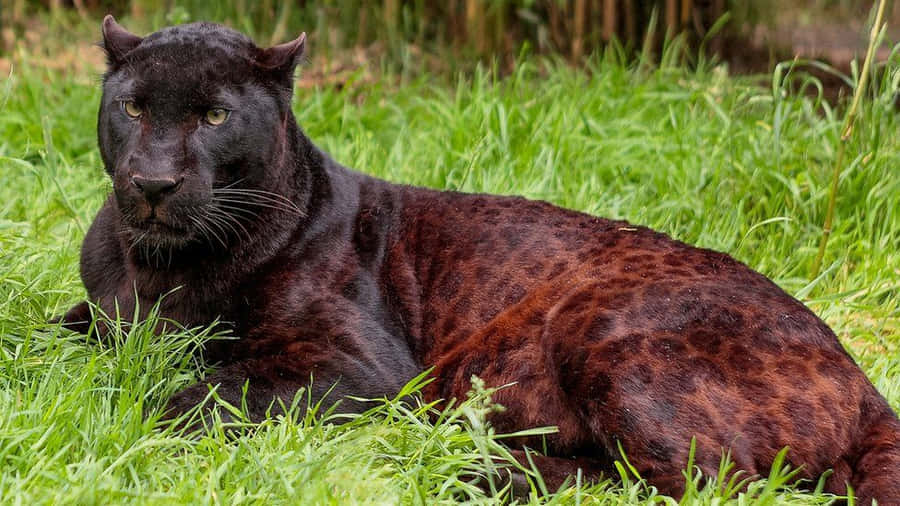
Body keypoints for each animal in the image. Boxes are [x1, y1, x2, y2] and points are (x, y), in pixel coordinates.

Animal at [59, 16, 900, 503]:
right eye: (132, 107)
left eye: (214, 115)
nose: (154, 181)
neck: (161, 268)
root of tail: (862, 381)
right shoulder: (94, 313)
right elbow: (63, 335)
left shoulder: (357, 366)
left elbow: (204, 391)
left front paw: (121, 416)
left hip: (604, 328)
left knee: (696, 484)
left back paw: (462, 468)